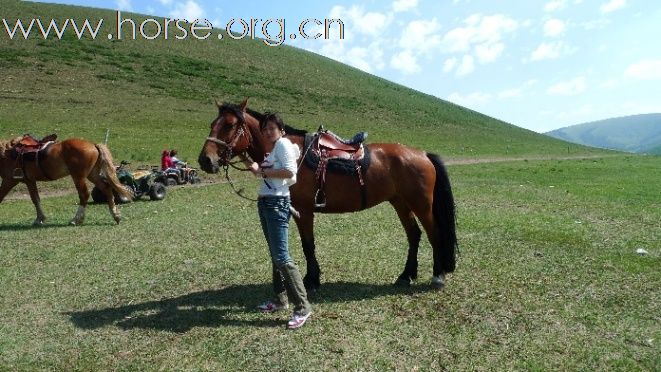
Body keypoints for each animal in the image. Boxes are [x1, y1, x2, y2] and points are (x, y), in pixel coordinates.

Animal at [0, 136, 131, 224]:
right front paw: (40, 218)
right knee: (106, 189)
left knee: (84, 195)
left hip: (78, 177)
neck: (6, 154)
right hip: (92, 175)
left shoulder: (9, 181)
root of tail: (93, 145)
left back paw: (76, 219)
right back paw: (116, 215)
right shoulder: (29, 181)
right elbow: (35, 199)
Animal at [196, 101, 454, 290]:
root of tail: (422, 154)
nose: (205, 160)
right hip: (400, 202)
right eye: (213, 123)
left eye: (229, 125)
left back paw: (437, 276)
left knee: (434, 234)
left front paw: (311, 280)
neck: (294, 154)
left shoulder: (304, 211)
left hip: (421, 204)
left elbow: (308, 245)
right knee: (414, 235)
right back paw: (405, 275)